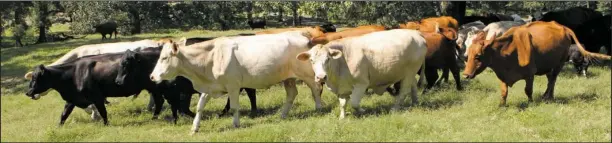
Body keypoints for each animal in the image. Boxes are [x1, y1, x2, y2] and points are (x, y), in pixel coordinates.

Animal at [23, 47, 185, 125]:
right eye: (32, 78)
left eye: (37, 78)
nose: (28, 92)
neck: (74, 73)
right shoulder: (72, 99)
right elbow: (64, 114)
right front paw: (59, 127)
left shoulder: (97, 97)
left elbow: (103, 112)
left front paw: (106, 124)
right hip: (153, 88)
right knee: (159, 101)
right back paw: (154, 118)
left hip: (159, 87)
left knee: (165, 100)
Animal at [149, 30, 326, 134]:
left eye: (164, 58)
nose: (152, 77)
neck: (211, 57)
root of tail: (300, 34)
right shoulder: (209, 87)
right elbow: (199, 107)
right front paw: (194, 127)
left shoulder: (233, 86)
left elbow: (234, 107)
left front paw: (235, 124)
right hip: (288, 77)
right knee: (292, 94)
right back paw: (282, 115)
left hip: (306, 73)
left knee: (315, 88)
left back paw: (319, 108)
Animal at [296, 28, 426, 118]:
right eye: (311, 60)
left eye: (328, 59)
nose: (321, 77)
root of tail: (416, 33)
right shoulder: (342, 88)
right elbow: (342, 103)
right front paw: (342, 117)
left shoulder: (361, 84)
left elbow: (354, 102)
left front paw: (362, 111)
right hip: (409, 73)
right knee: (413, 85)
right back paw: (415, 102)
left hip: (409, 73)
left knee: (404, 91)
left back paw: (395, 108)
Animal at [462, 21, 608, 106]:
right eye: (467, 55)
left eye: (478, 56)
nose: (465, 75)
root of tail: (562, 27)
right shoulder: (502, 74)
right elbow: (504, 92)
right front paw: (501, 106)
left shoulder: (530, 74)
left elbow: (528, 90)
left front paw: (531, 103)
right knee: (551, 79)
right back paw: (550, 97)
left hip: (559, 63)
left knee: (552, 80)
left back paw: (547, 97)